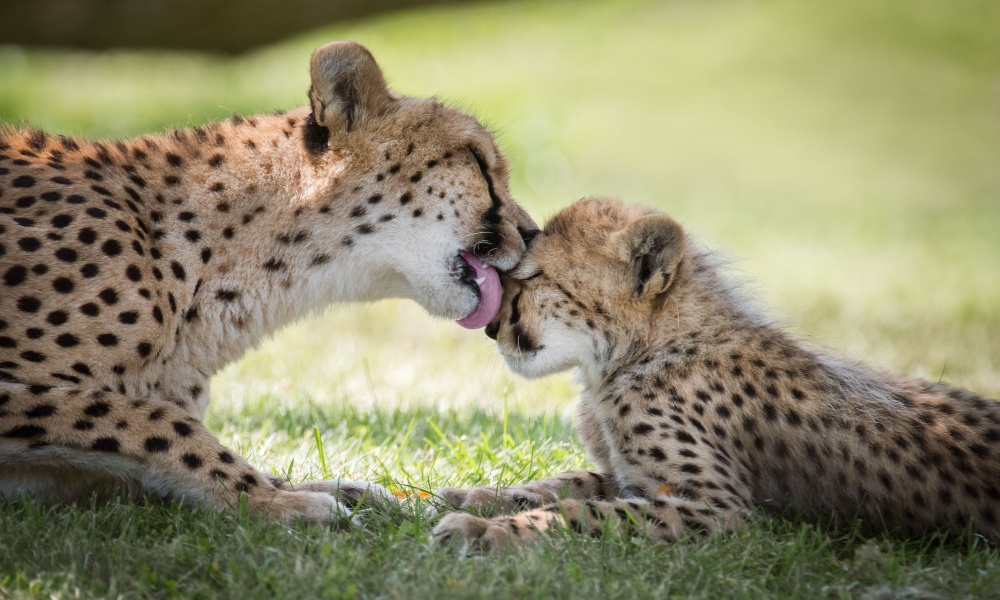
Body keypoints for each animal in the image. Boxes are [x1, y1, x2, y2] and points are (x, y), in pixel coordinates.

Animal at [436, 199, 1000, 552]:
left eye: (533, 277)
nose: (491, 329)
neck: (642, 352)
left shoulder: (724, 510)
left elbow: (588, 511)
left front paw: (485, 530)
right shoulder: (633, 476)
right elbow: (575, 481)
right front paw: (482, 495)